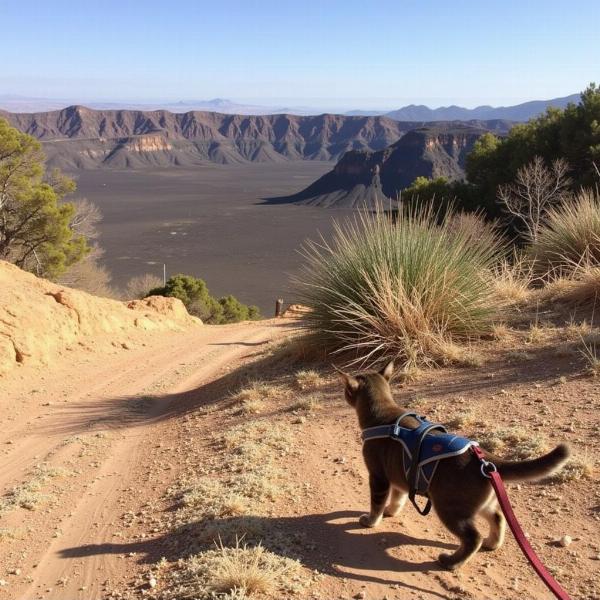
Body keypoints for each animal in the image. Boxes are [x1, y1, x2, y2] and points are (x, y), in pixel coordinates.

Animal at [340, 358, 568, 568]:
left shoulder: (378, 476)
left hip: (449, 507)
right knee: (498, 517)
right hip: (479, 503)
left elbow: (376, 503)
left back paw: (451, 562)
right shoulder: (399, 475)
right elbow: (398, 497)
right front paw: (391, 511)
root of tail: (485, 459)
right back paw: (492, 543)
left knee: (473, 537)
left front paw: (370, 521)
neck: (383, 414)